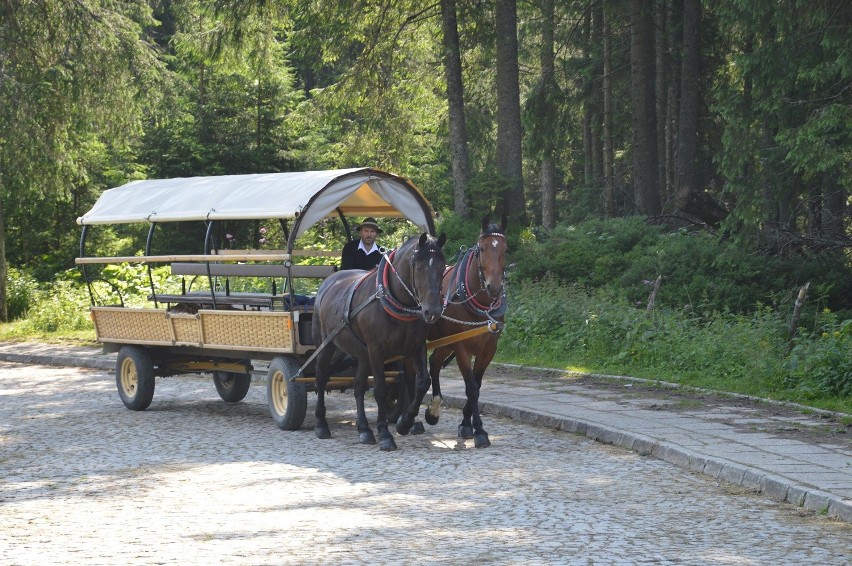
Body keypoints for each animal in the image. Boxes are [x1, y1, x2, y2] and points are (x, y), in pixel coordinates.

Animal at [312, 232, 446, 452]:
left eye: (442, 268)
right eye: (418, 267)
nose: (432, 311)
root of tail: (329, 282)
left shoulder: (416, 347)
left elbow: (423, 382)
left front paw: (404, 422)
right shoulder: (376, 350)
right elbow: (380, 389)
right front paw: (385, 433)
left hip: (362, 354)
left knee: (358, 387)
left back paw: (364, 429)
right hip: (327, 345)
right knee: (321, 378)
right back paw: (321, 424)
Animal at [422, 215, 502, 450]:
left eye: (506, 248)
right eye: (482, 249)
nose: (494, 287)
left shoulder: (489, 348)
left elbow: (477, 384)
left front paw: (467, 425)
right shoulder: (461, 348)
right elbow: (471, 387)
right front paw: (480, 431)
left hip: (443, 341)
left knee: (434, 364)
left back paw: (433, 411)